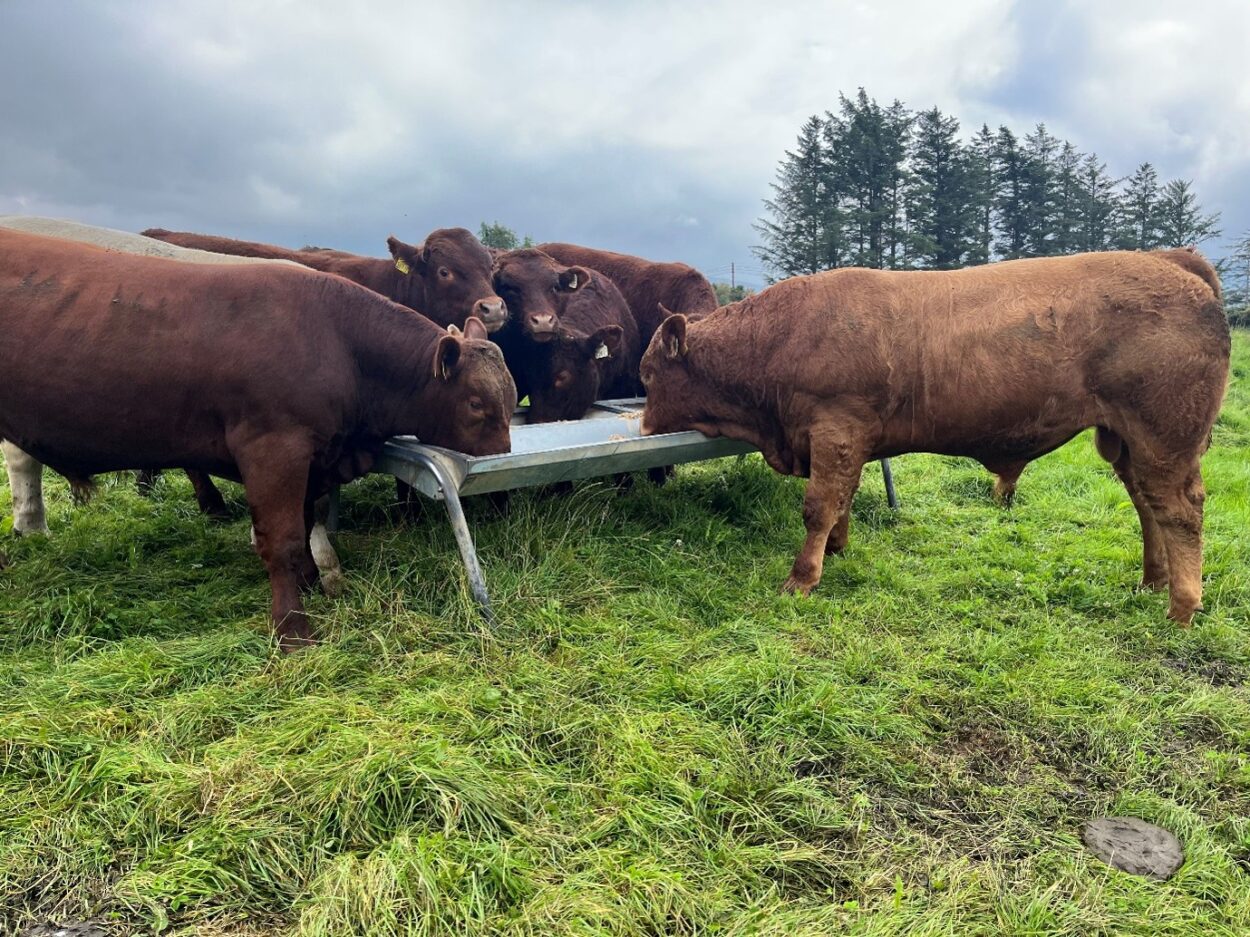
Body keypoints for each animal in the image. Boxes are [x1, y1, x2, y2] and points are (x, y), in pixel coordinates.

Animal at [640, 249, 1230, 626]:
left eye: (647, 375)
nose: (642, 426)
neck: (779, 336)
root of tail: (1170, 260)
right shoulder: (845, 443)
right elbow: (842, 502)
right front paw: (838, 549)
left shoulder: (835, 430)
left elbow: (818, 506)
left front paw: (802, 579)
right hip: (1126, 442)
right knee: (1148, 506)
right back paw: (1152, 581)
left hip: (1165, 441)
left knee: (1180, 511)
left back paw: (1182, 608)